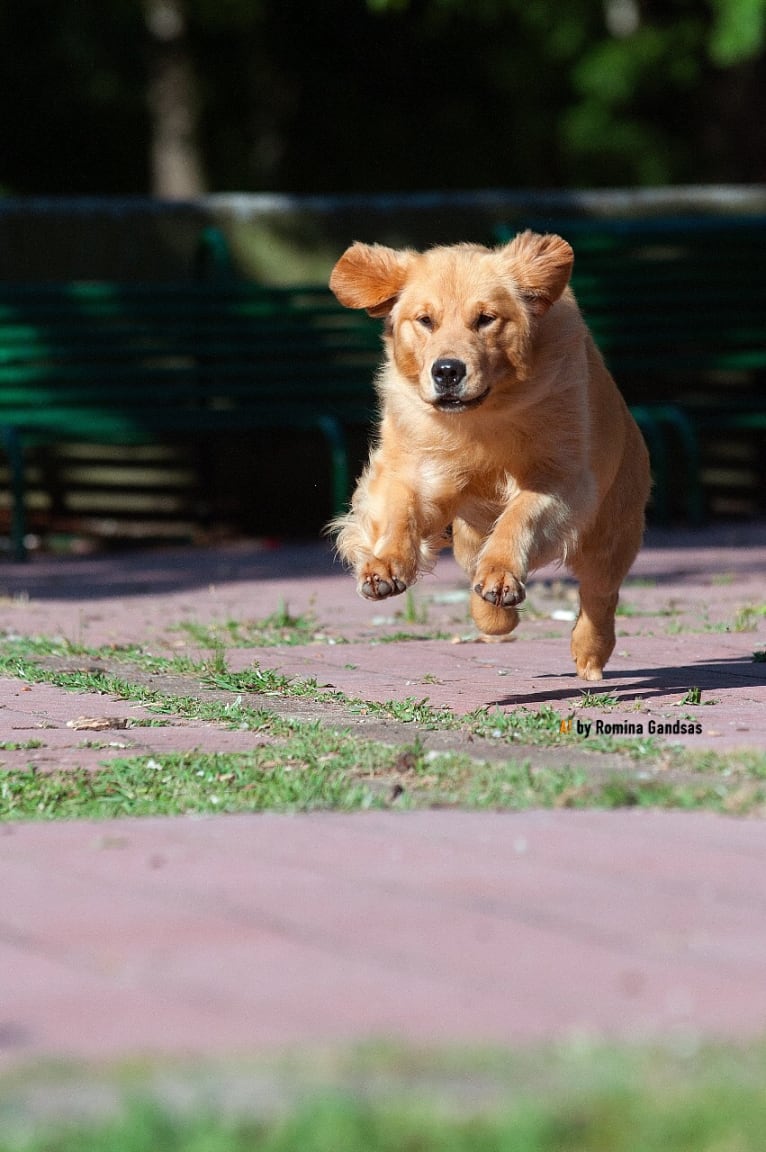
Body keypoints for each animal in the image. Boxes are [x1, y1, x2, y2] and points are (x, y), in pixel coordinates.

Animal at [327, 235, 645, 681]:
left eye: (485, 319)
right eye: (425, 320)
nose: (447, 370)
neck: (480, 417)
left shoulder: (562, 480)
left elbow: (518, 517)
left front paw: (501, 576)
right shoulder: (413, 467)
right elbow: (399, 512)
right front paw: (385, 566)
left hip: (611, 532)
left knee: (600, 595)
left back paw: (589, 654)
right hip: (467, 537)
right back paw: (493, 616)